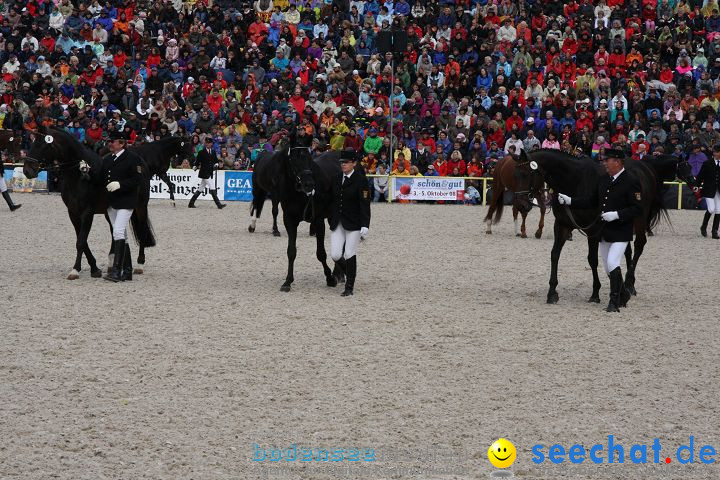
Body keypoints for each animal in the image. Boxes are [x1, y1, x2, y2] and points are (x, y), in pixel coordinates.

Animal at [23, 125, 156, 280]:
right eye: (32, 143)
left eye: (43, 145)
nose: (27, 170)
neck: (78, 176)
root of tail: (141, 161)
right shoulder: (73, 213)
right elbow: (82, 240)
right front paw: (94, 268)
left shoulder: (87, 212)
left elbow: (81, 241)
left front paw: (76, 270)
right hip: (109, 212)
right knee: (114, 232)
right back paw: (111, 263)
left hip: (141, 207)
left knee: (141, 231)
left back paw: (140, 265)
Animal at [250, 129, 344, 290]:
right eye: (293, 159)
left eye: (309, 158)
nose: (309, 184)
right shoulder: (289, 220)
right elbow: (291, 251)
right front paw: (288, 281)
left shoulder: (319, 220)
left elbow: (321, 253)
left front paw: (330, 278)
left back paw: (338, 274)